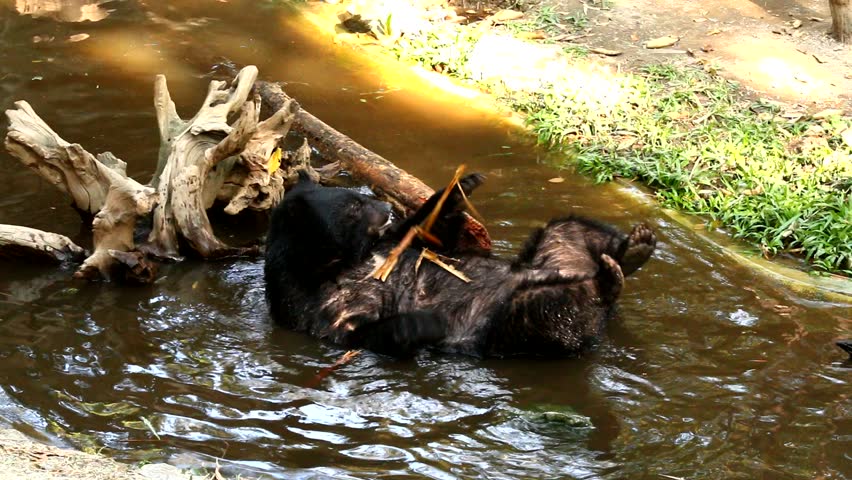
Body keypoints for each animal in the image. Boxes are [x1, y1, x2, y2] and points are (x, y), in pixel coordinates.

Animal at [264, 171, 656, 358]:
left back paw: (633, 247)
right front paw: (423, 322)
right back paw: (606, 280)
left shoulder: (390, 246)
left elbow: (426, 233)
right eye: (355, 206)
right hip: (506, 326)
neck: (345, 262)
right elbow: (365, 334)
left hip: (554, 253)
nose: (386, 207)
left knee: (568, 229)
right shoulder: (321, 306)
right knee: (557, 313)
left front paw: (460, 185)